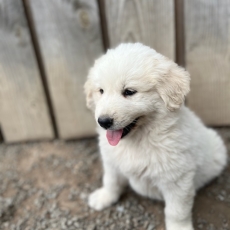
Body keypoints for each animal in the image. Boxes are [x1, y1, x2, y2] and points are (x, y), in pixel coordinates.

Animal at [84, 43, 226, 230]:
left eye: (129, 91)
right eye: (101, 91)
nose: (103, 121)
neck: (138, 139)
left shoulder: (177, 180)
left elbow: (176, 211)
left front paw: (179, 227)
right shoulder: (111, 162)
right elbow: (111, 181)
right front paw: (104, 197)